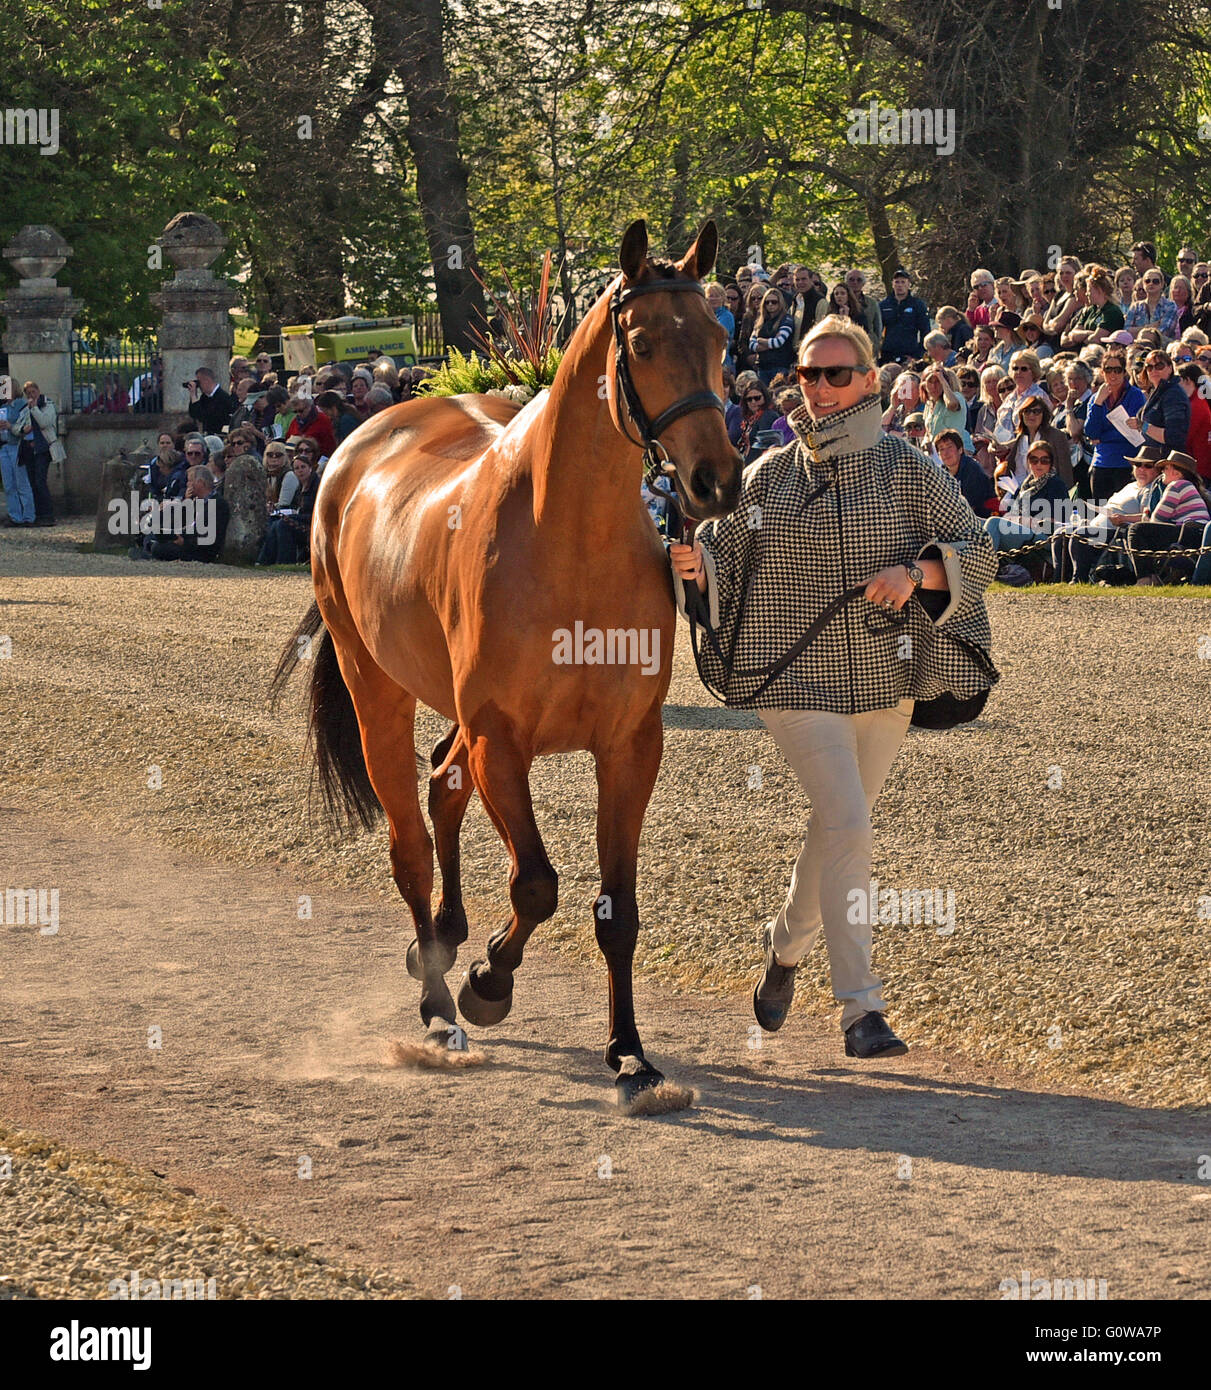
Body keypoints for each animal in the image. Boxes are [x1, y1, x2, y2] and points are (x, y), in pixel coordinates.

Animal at [275, 219, 745, 1106]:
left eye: (717, 336)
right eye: (641, 343)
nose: (714, 481)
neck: (570, 541)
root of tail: (364, 439)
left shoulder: (630, 745)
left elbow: (616, 909)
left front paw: (629, 1054)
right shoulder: (503, 740)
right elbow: (535, 883)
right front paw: (488, 980)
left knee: (440, 782)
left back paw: (443, 940)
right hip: (375, 685)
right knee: (410, 839)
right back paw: (437, 1006)